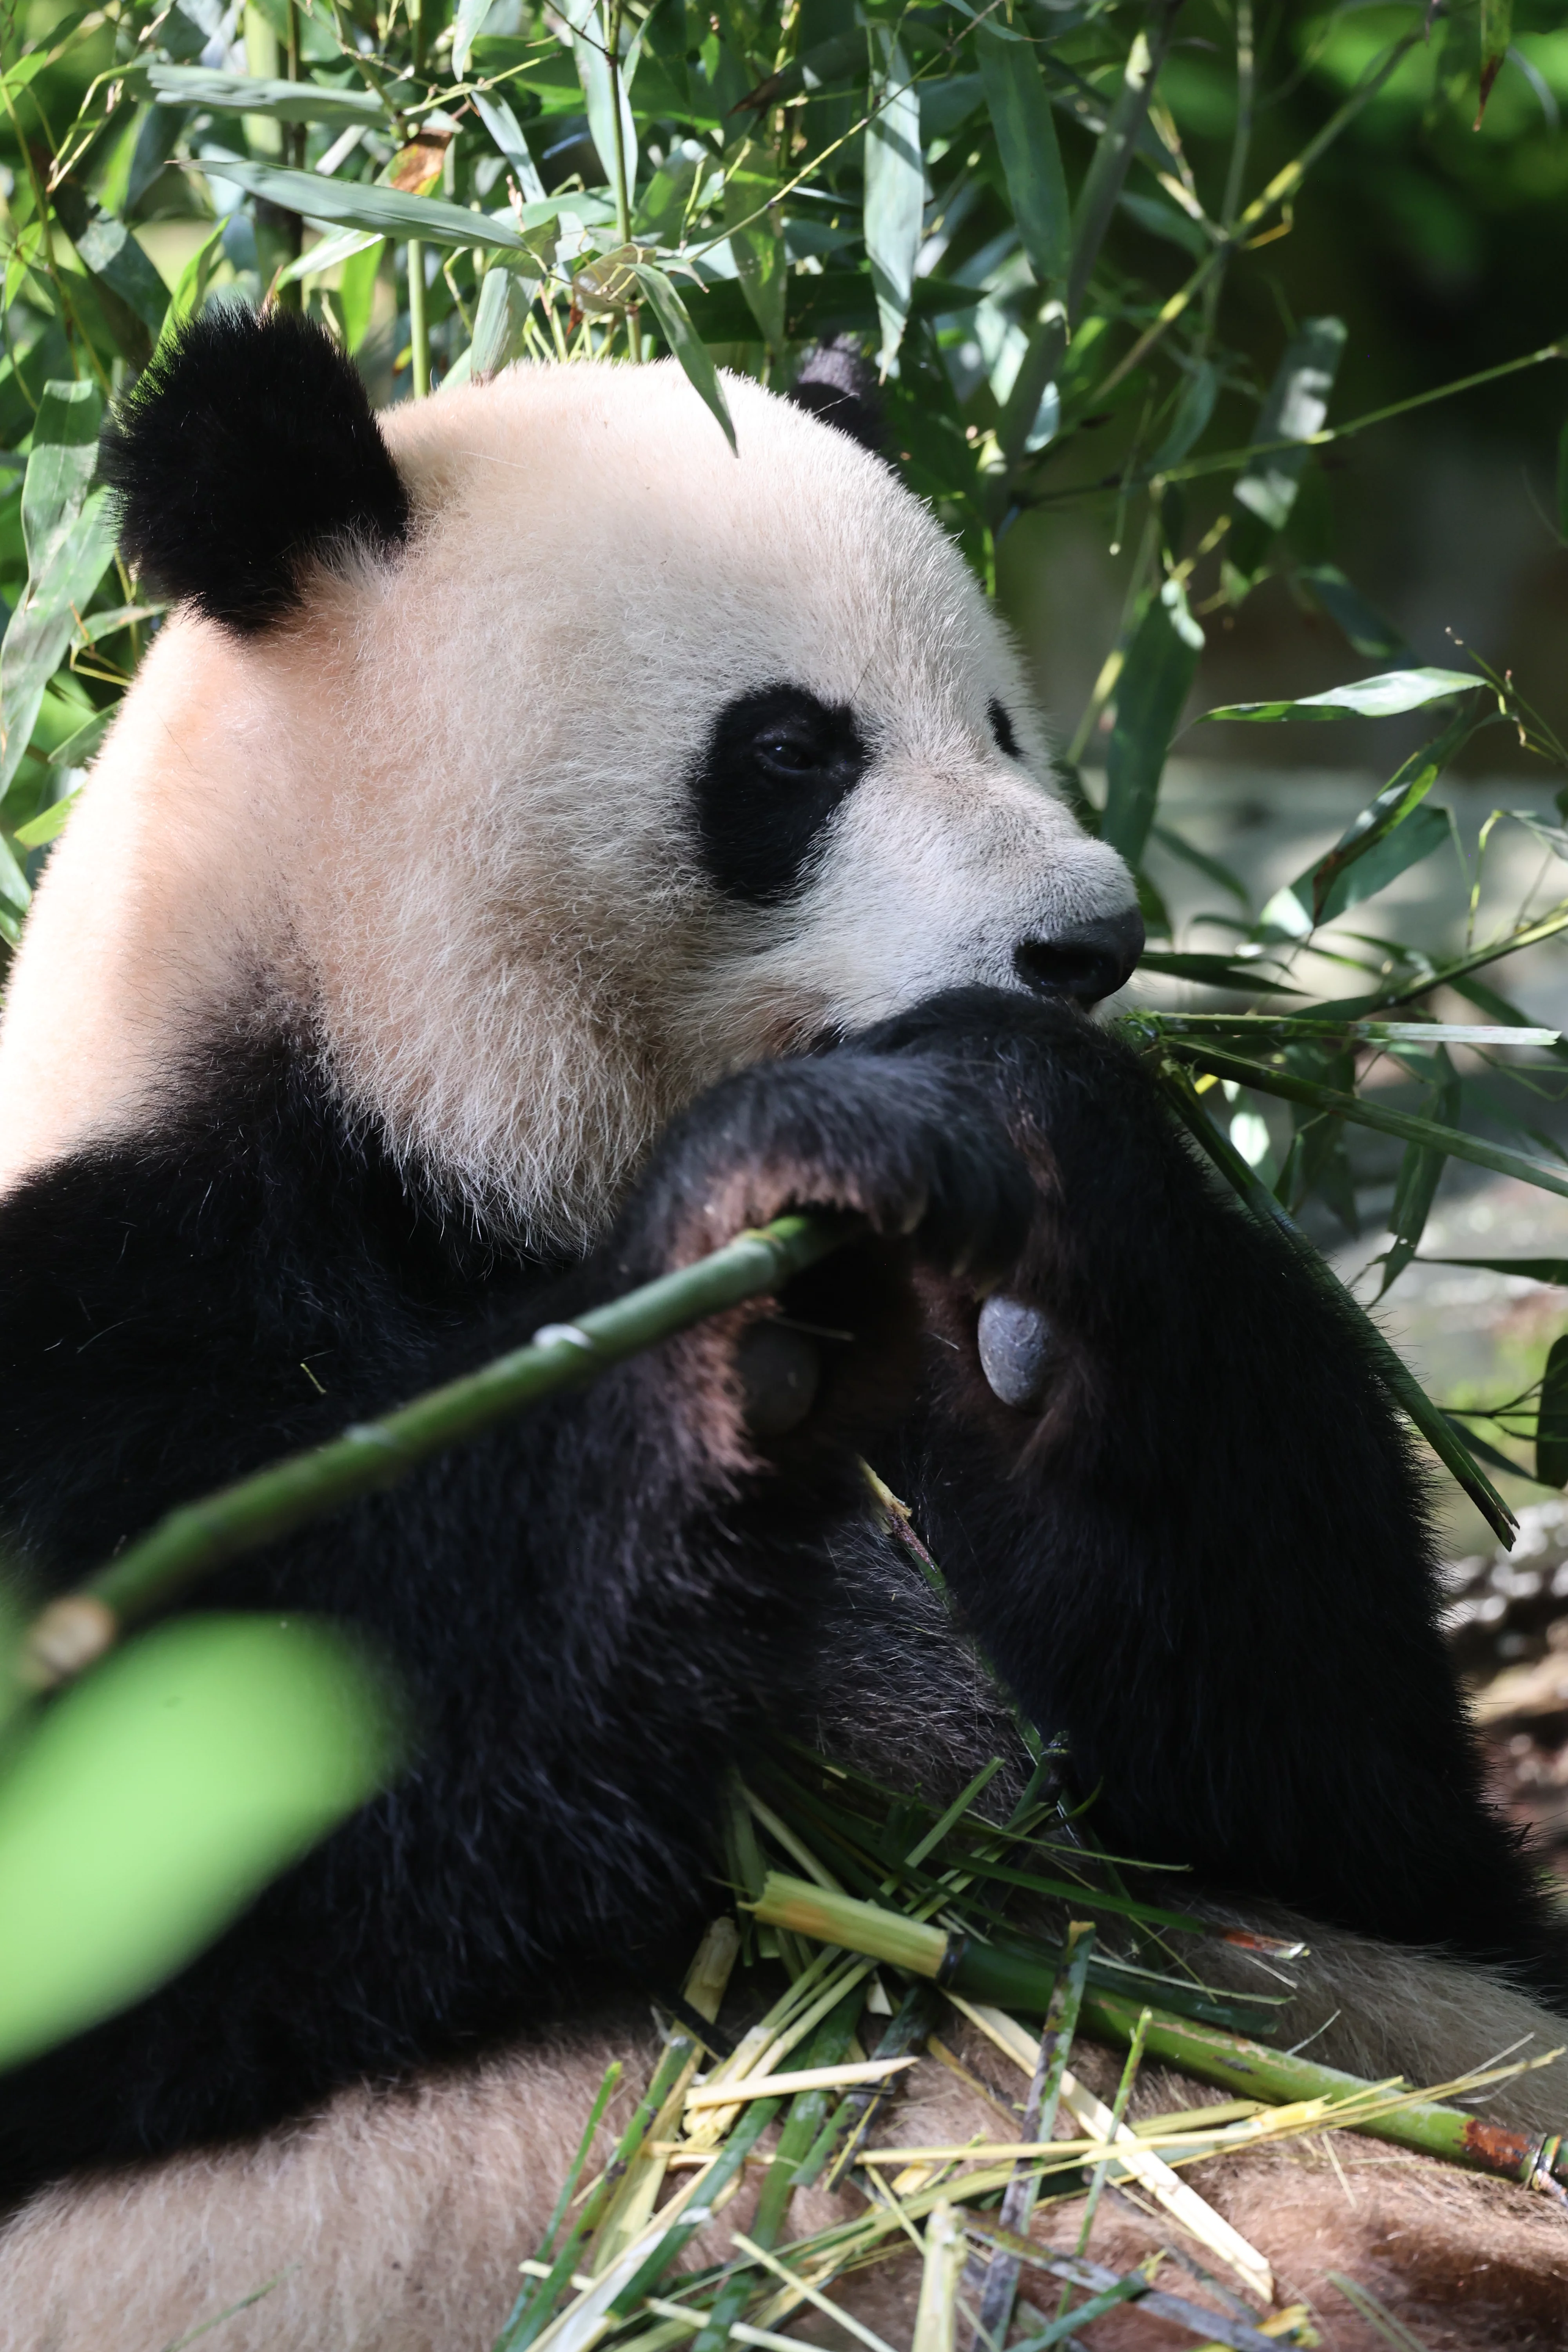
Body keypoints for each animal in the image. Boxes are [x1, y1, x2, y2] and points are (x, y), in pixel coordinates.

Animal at [0, 307, 1564, 2348]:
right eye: (789, 751)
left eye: (998, 722)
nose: (1084, 942)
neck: (411, 1125)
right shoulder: (121, 1307)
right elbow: (177, 1838)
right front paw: (745, 1252)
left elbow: (1327, 1812)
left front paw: (1030, 1156)